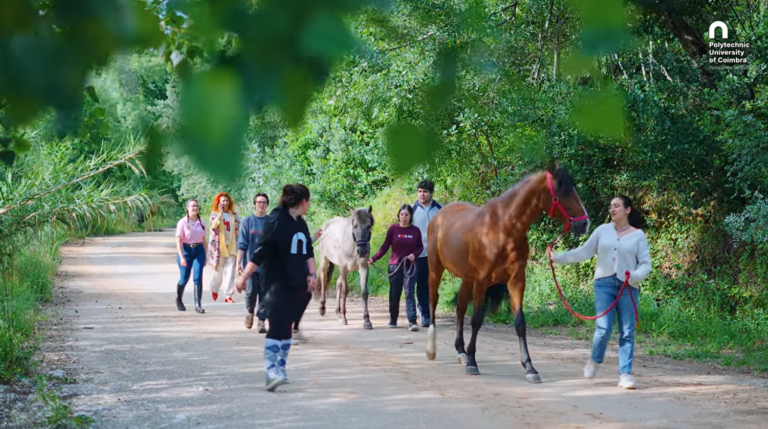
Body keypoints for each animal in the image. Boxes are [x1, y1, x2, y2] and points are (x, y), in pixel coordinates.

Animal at [424, 161, 590, 383]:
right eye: (560, 192)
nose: (584, 223)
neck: (503, 229)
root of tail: (440, 214)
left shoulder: (516, 280)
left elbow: (520, 322)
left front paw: (530, 367)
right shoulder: (481, 280)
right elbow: (477, 319)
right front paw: (473, 363)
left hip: (467, 278)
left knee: (460, 308)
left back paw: (461, 352)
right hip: (436, 268)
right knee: (433, 301)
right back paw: (432, 349)